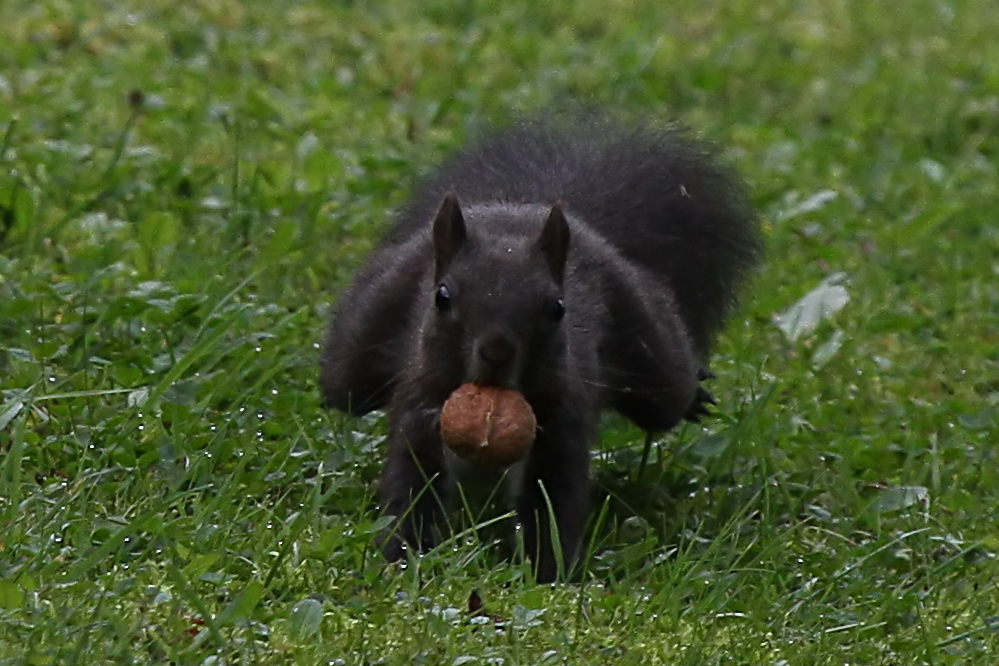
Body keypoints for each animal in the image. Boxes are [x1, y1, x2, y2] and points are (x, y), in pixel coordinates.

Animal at [324, 115, 760, 580]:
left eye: (557, 308)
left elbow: (553, 498)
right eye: (441, 297)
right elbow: (411, 484)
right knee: (347, 386)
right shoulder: (419, 403)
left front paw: (550, 576)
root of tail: (523, 206)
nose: (497, 351)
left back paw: (694, 391)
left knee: (666, 400)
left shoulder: (561, 418)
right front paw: (401, 559)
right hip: (358, 345)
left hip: (652, 348)